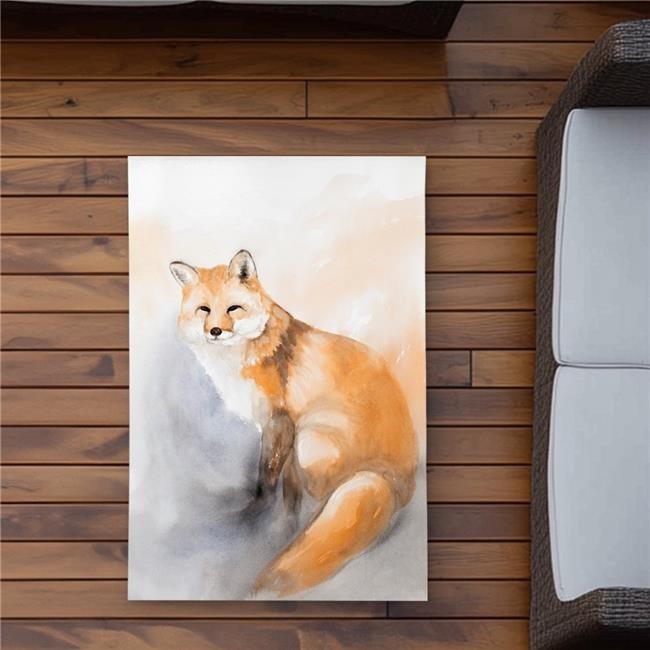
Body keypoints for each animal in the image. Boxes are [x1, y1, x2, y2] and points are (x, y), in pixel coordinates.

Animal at [170, 249, 418, 597]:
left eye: (233, 308)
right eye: (204, 310)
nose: (215, 331)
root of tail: (394, 483)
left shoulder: (281, 422)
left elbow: (266, 478)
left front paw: (255, 515)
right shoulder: (280, 429)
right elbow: (285, 483)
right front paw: (283, 515)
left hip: (310, 439)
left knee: (324, 499)